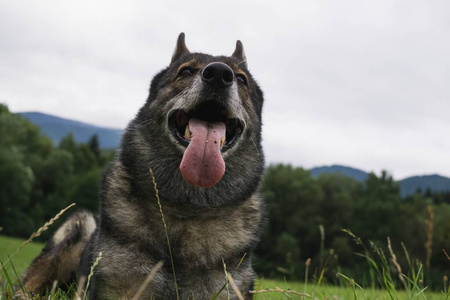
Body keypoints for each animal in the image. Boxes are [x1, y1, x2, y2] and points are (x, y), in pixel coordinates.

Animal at [22, 33, 264, 300]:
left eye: (241, 79)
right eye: (185, 71)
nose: (220, 74)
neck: (188, 205)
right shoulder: (123, 287)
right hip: (79, 227)